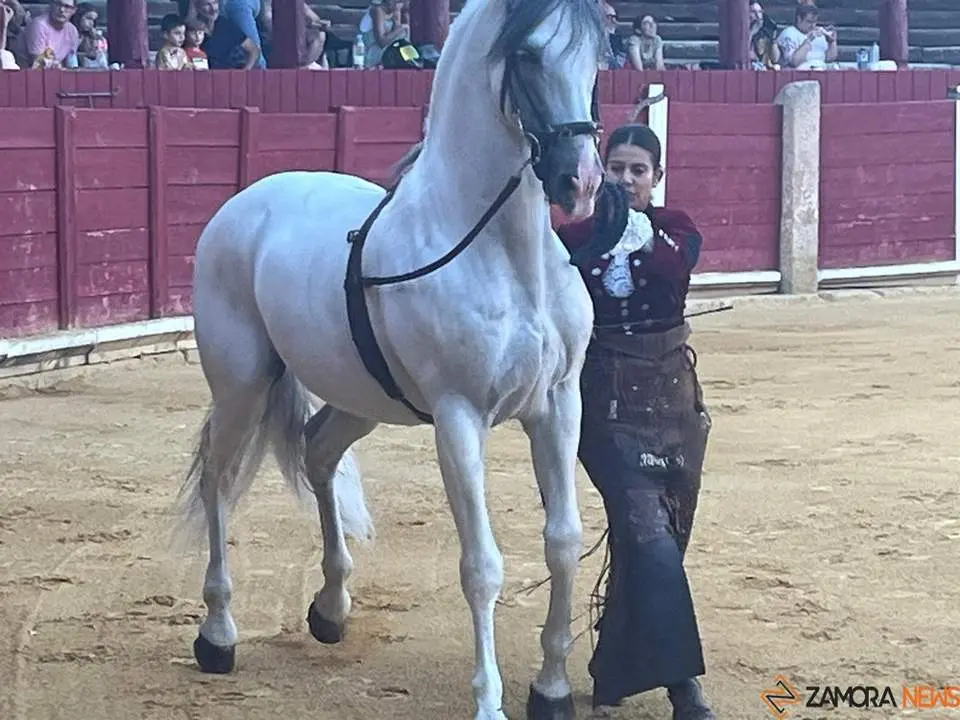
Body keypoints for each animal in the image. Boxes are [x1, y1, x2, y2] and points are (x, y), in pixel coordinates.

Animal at [173, 0, 608, 716]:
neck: (503, 255)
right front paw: (489, 700)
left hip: (357, 400)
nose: (583, 182)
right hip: (241, 385)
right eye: (526, 55)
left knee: (318, 452)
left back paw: (330, 609)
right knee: (219, 480)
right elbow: (481, 565)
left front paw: (551, 687)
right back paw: (218, 635)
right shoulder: (459, 419)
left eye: (596, 56)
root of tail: (245, 205)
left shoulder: (557, 405)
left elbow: (565, 541)